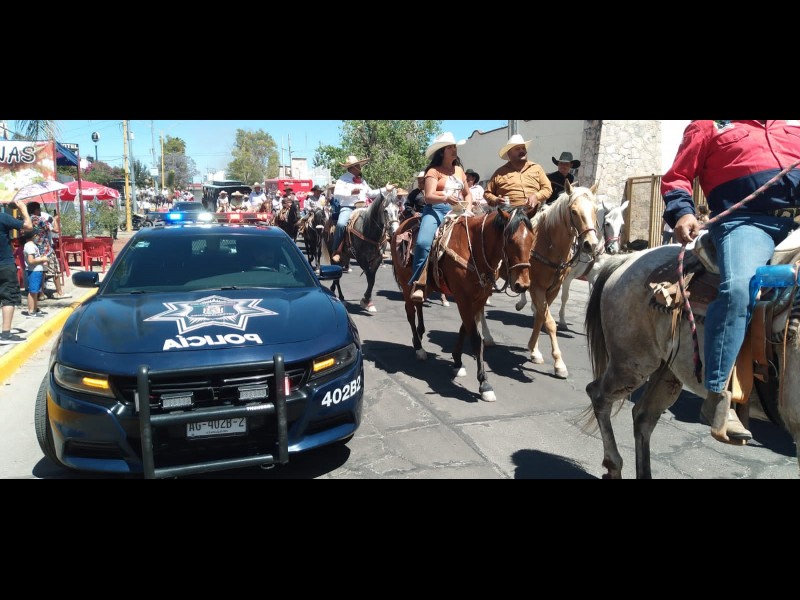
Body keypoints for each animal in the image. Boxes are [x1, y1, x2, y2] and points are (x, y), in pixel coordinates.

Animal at [390, 206, 537, 402]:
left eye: (532, 239)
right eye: (510, 240)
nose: (523, 285)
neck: (474, 248)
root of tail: (400, 226)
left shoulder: (478, 299)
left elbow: (464, 330)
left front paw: (457, 361)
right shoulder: (463, 298)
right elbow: (475, 337)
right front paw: (484, 383)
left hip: (424, 285)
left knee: (419, 304)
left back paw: (419, 337)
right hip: (406, 285)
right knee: (410, 312)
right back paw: (419, 348)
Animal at [582, 237, 800, 478]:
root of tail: (626, 259)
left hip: (668, 373)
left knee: (643, 416)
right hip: (632, 364)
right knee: (598, 394)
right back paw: (613, 465)